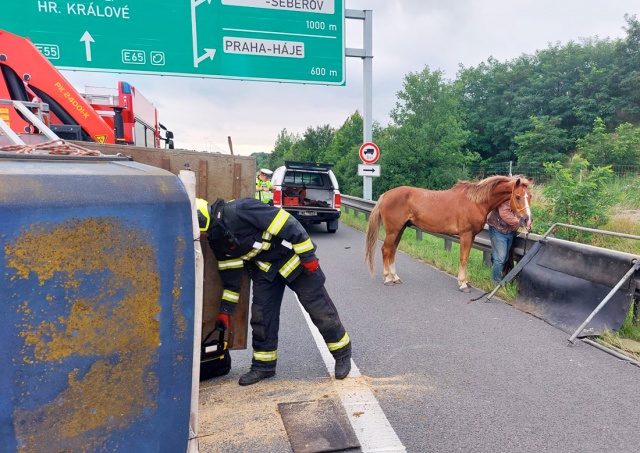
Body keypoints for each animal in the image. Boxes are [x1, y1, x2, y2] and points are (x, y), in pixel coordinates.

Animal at [368, 175, 532, 292]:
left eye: (529, 196)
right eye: (518, 196)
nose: (527, 219)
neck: (476, 202)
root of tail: (385, 195)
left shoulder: (471, 236)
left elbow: (465, 257)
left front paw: (463, 281)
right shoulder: (466, 235)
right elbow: (464, 258)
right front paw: (463, 284)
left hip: (400, 229)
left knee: (392, 251)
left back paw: (395, 277)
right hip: (393, 231)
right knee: (386, 250)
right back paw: (387, 279)